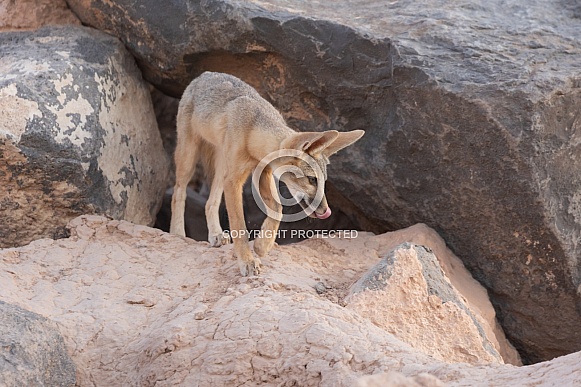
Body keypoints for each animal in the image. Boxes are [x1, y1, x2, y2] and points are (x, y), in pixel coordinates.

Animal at [168, 72, 364, 276]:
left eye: (323, 181)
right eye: (312, 179)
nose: (326, 211)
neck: (252, 132)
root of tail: (203, 75)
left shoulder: (264, 172)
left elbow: (277, 209)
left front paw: (263, 245)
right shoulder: (234, 181)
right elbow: (239, 225)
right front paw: (247, 261)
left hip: (222, 169)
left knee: (209, 202)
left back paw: (215, 234)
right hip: (189, 158)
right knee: (178, 192)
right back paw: (177, 233)